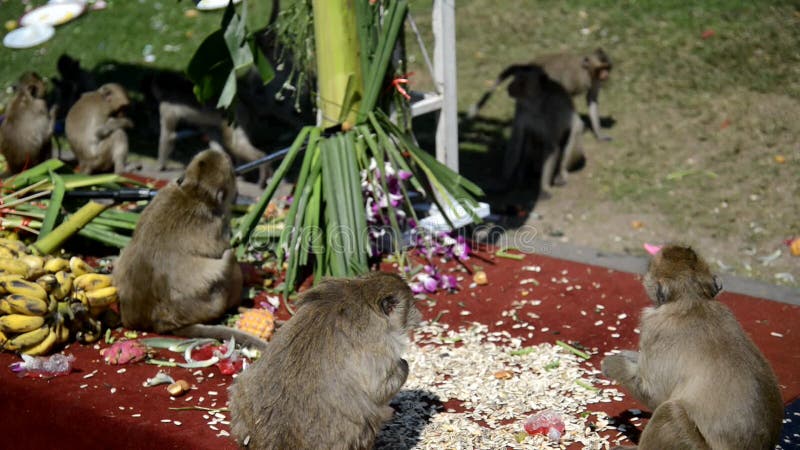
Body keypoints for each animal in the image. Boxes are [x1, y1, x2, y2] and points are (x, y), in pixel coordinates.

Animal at [112, 148, 266, 348]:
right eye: (232, 174)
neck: (193, 191)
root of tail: (162, 322)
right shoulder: (220, 222)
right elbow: (223, 249)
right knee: (229, 257)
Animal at [228, 270, 422, 450]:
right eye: (409, 307)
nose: (418, 315)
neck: (362, 295)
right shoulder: (381, 342)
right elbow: (378, 389)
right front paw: (403, 365)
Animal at [468, 47, 612, 141]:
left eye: (607, 67)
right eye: (602, 68)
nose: (606, 75)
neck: (587, 71)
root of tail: (528, 65)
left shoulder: (595, 81)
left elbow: (591, 100)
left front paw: (599, 134)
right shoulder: (575, 77)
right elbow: (567, 95)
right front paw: (578, 126)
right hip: (528, 79)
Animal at [496, 64, 584, 198]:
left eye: (522, 81)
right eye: (515, 78)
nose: (510, 86)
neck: (535, 102)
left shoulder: (552, 110)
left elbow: (552, 147)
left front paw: (544, 187)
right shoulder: (520, 108)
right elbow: (516, 141)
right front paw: (504, 182)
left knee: (575, 131)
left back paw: (561, 173)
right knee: (528, 139)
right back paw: (522, 176)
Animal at [600, 246, 780, 450]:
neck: (693, 302)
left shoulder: (654, 329)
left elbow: (656, 396)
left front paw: (613, 365)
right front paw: (629, 357)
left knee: (671, 412)